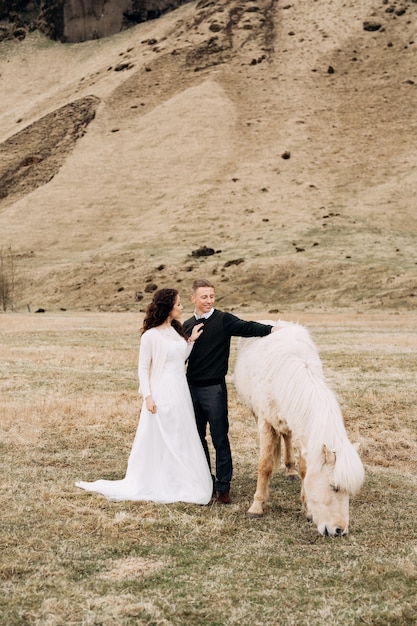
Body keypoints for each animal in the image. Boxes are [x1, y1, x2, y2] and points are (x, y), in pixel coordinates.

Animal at [234, 320, 364, 532]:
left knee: (286, 438)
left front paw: (308, 509)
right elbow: (265, 465)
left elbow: (305, 469)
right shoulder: (265, 422)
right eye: (334, 487)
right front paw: (256, 506)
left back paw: (290, 470)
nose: (340, 531)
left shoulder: (303, 430)